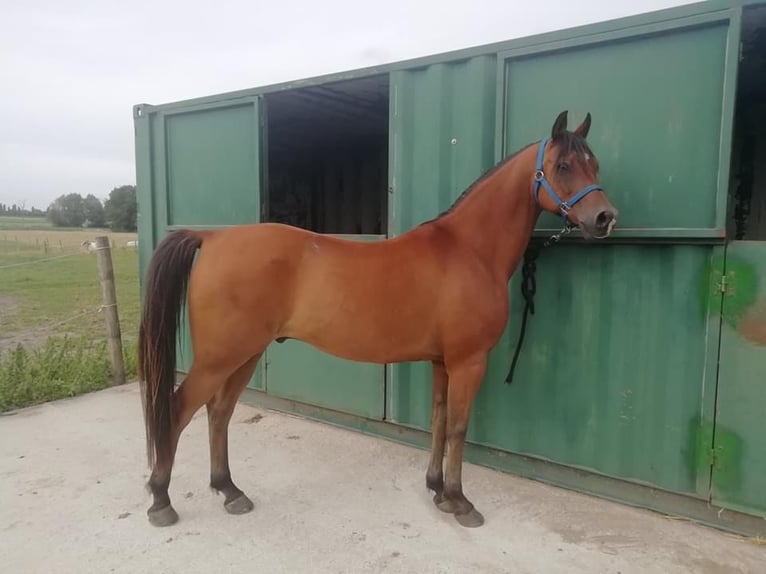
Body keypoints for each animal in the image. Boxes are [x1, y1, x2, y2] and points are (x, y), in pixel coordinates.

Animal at [136, 109, 616, 532]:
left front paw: (437, 490)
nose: (605, 218)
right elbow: (459, 427)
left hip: (246, 354)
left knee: (219, 412)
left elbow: (439, 420)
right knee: (178, 410)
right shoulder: (468, 361)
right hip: (222, 355)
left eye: (594, 162)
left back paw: (229, 490)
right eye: (563, 164)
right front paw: (460, 501)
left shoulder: (442, 362)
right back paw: (161, 501)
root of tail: (212, 237)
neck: (468, 250)